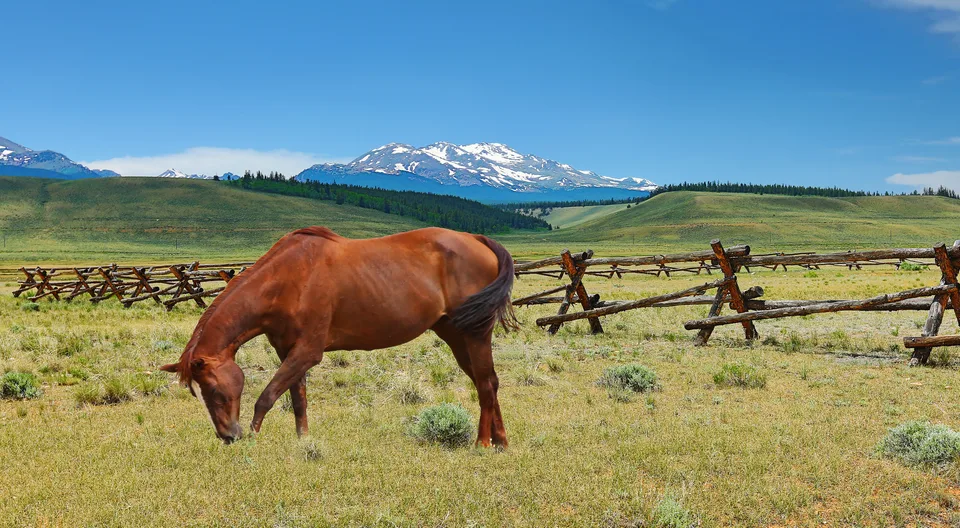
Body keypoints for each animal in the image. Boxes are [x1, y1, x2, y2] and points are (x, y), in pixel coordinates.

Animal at [159, 226, 518, 447]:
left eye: (214, 390)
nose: (228, 436)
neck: (286, 280)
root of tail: (477, 239)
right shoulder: (288, 352)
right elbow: (298, 399)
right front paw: (303, 442)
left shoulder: (307, 352)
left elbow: (267, 396)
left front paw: (255, 436)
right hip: (454, 336)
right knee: (488, 382)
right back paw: (500, 441)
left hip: (475, 334)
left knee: (485, 384)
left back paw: (481, 443)